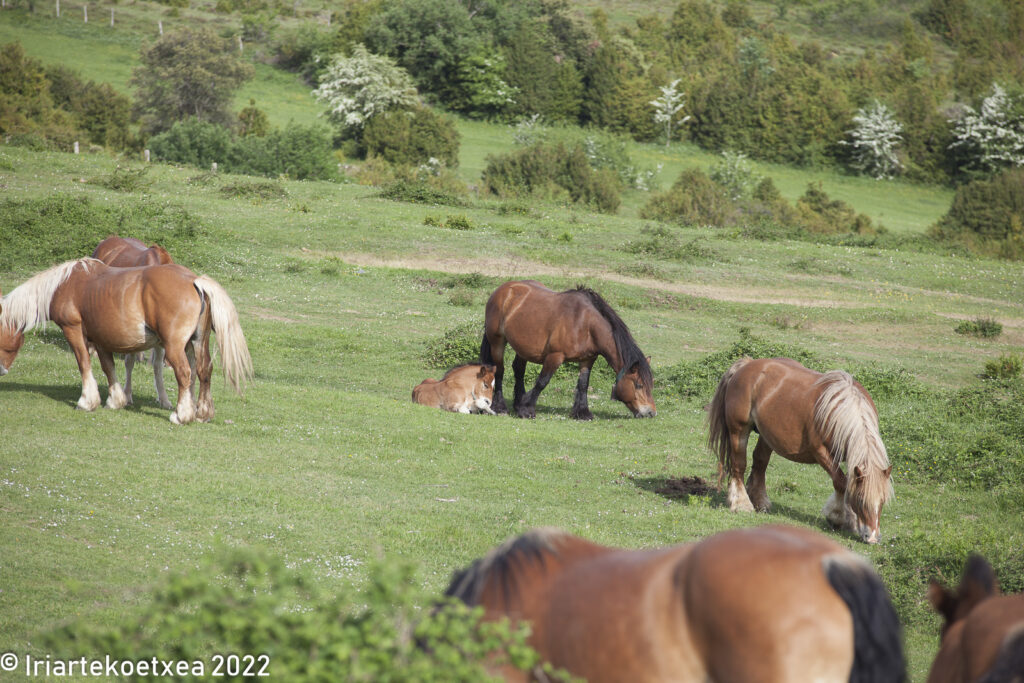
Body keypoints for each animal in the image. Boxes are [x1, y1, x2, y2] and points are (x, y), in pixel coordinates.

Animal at [0, 259, 253, 423]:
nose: (1, 371)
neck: (65, 285)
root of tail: (194, 280)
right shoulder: (100, 338)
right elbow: (108, 367)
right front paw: (115, 400)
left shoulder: (74, 331)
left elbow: (84, 364)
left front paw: (87, 401)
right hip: (197, 342)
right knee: (203, 371)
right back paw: (202, 413)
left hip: (174, 346)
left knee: (184, 373)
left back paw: (182, 415)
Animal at [481, 280, 655, 419]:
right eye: (639, 385)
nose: (651, 413)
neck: (584, 324)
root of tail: (504, 289)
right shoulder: (555, 356)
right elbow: (542, 381)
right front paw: (527, 410)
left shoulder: (588, 359)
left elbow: (583, 384)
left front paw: (582, 412)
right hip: (497, 342)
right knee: (499, 371)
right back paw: (501, 407)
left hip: (522, 347)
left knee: (518, 370)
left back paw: (517, 404)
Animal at [708, 358, 892, 544]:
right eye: (861, 500)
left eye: (883, 501)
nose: (872, 538)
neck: (840, 411)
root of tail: (747, 364)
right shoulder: (821, 452)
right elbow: (841, 483)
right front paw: (837, 517)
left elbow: (848, 483)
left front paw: (850, 521)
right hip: (738, 431)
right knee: (739, 466)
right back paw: (741, 504)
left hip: (767, 436)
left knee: (760, 462)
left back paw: (760, 502)